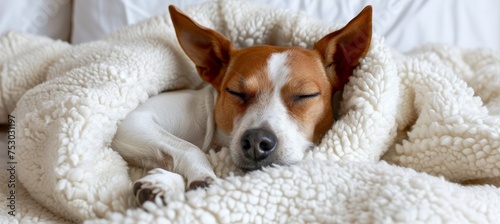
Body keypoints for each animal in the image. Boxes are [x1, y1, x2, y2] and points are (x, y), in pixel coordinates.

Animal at [112, 4, 372, 205]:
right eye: (236, 92)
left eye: (305, 96)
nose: (257, 141)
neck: (211, 135)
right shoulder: (134, 122)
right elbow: (189, 148)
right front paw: (198, 176)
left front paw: (165, 182)